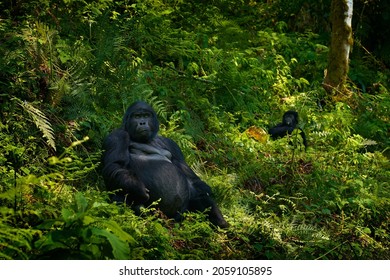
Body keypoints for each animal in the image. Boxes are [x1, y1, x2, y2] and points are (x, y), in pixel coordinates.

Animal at [101, 100, 229, 228]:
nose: (142, 122)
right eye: (137, 116)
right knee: (121, 189)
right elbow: (115, 166)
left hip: (181, 214)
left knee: (197, 194)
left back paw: (221, 223)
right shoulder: (117, 136)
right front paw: (137, 188)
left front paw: (206, 192)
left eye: (146, 116)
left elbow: (189, 175)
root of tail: (169, 220)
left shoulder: (171, 144)